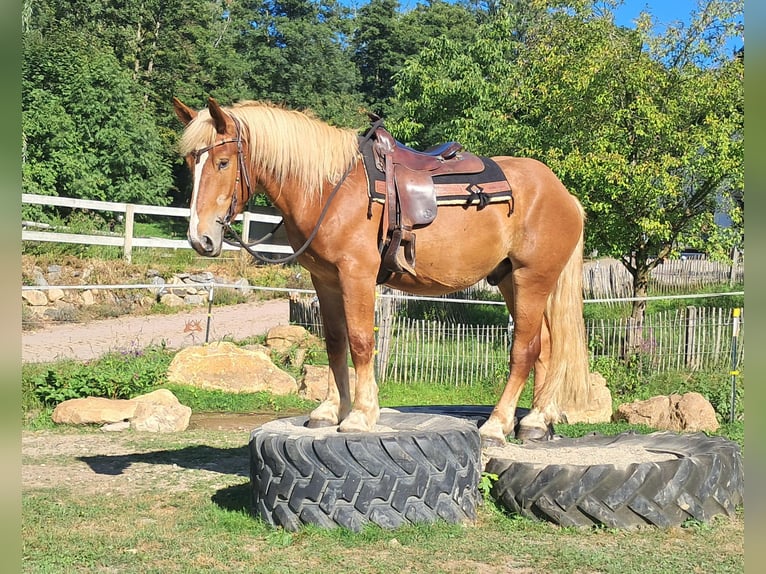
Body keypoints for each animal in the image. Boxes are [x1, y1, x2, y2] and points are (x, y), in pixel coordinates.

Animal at [172, 97, 591, 446]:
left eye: (223, 162)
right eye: (191, 162)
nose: (200, 238)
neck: (330, 189)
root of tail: (563, 194)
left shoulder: (356, 274)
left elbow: (360, 341)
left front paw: (360, 415)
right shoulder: (325, 279)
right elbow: (335, 342)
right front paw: (330, 410)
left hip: (532, 278)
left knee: (525, 349)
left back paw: (497, 425)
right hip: (509, 280)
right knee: (547, 346)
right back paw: (536, 420)